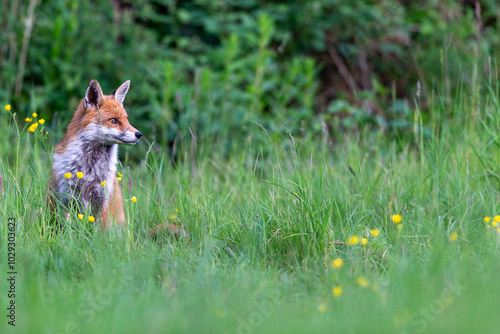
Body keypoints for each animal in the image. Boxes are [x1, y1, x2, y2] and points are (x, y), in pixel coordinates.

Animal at [47, 79, 142, 230]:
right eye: (113, 120)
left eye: (127, 119)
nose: (139, 135)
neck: (90, 170)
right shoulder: (67, 197)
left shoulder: (102, 199)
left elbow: (99, 232)